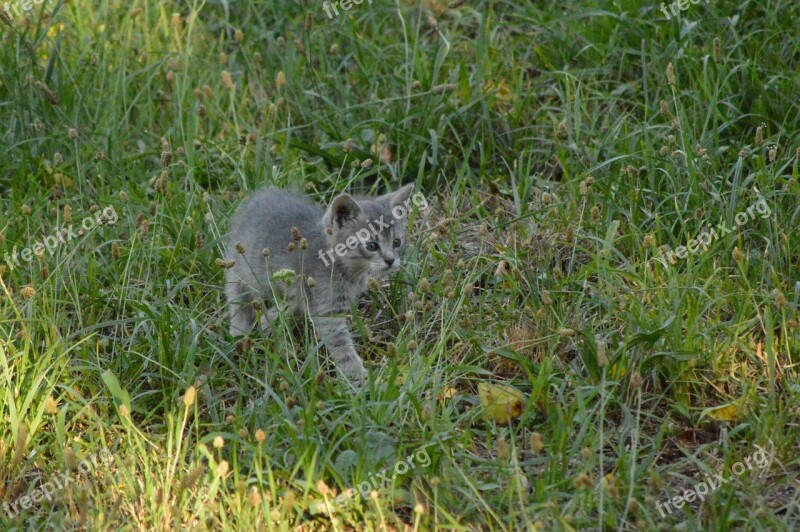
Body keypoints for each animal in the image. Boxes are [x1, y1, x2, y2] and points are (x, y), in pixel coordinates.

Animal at [222, 185, 416, 384]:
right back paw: (239, 329)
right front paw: (356, 376)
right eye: (371, 245)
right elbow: (342, 347)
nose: (391, 260)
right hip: (243, 269)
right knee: (236, 292)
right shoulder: (327, 311)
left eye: (396, 242)